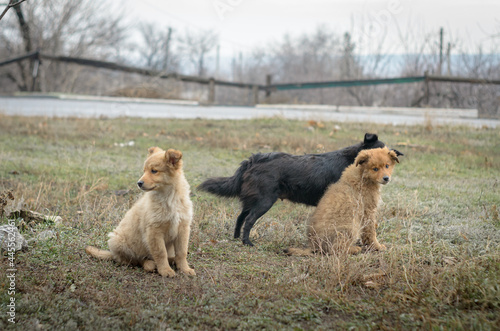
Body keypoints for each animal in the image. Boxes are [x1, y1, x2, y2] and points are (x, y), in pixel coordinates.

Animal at [86, 148, 195, 278]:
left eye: (154, 171)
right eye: (144, 171)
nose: (139, 183)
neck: (169, 198)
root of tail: (112, 253)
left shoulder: (183, 228)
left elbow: (182, 252)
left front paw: (185, 269)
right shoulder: (154, 231)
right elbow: (161, 253)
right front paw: (165, 270)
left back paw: (171, 260)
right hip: (117, 241)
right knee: (134, 260)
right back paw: (150, 264)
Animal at [199, 133, 386, 246]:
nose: (386, 176)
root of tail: (253, 160)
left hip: (254, 200)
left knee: (240, 218)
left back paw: (237, 238)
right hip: (264, 201)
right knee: (249, 220)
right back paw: (247, 242)